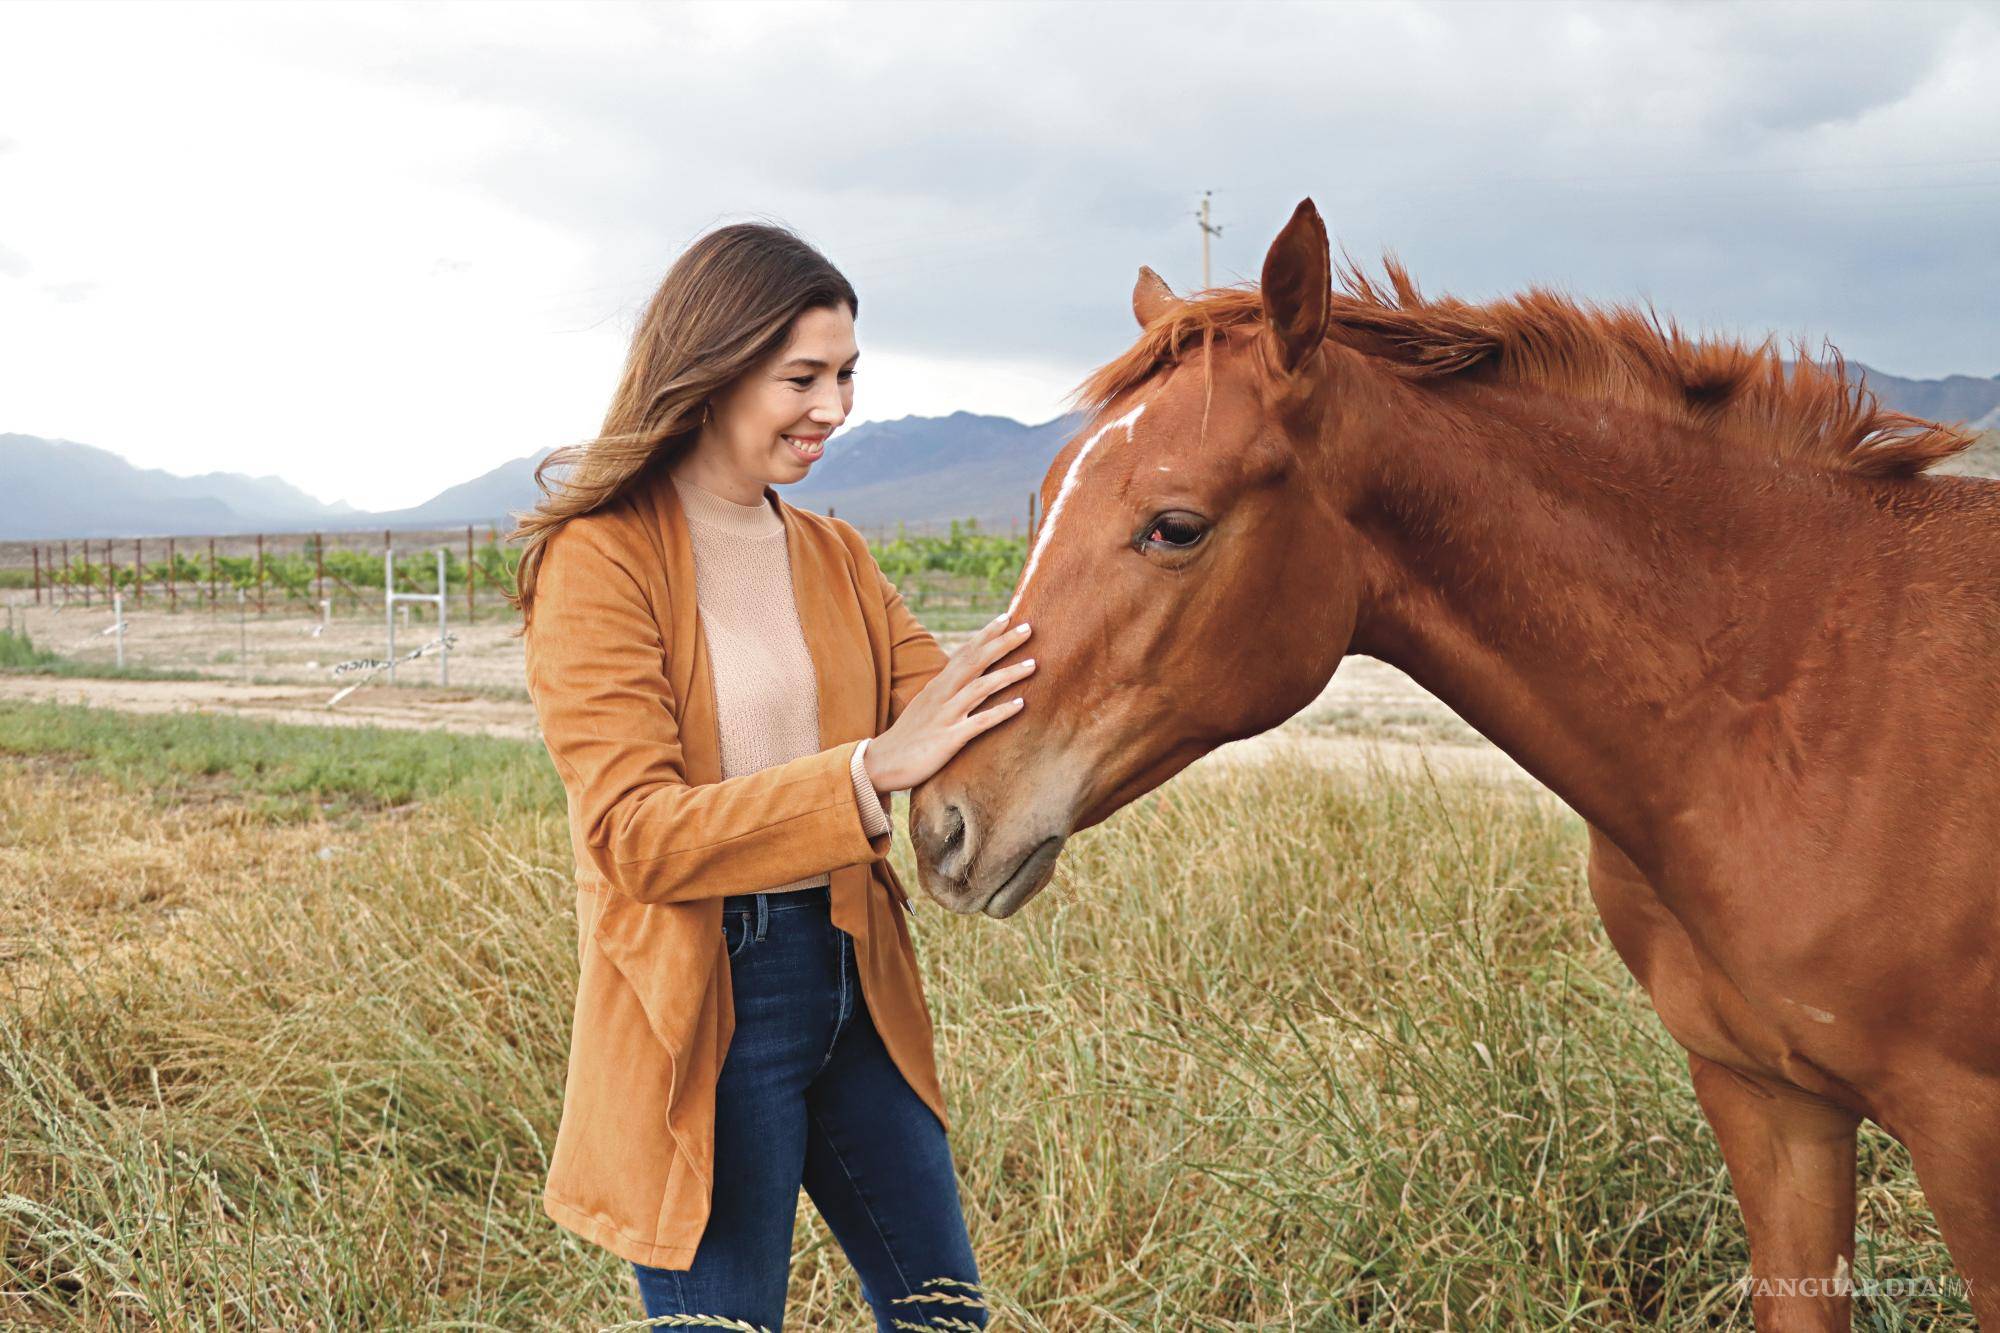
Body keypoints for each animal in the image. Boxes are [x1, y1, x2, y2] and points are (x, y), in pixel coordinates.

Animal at [912, 200, 2000, 1328]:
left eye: (1174, 526)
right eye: (1044, 499)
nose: (941, 821)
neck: (1799, 693)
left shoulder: (1965, 1132)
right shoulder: (1766, 1102)